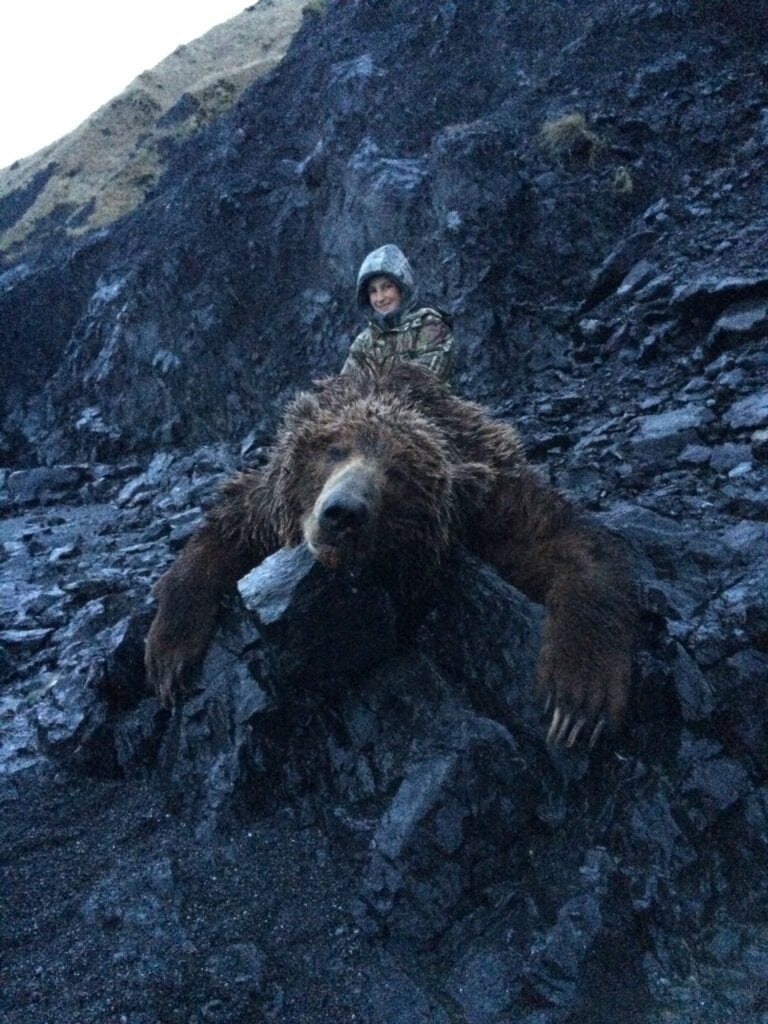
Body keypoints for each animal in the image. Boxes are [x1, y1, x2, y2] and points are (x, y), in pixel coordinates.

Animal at [145, 361, 636, 748]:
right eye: (334, 451)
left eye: (399, 474)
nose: (343, 513)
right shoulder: (270, 503)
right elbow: (225, 528)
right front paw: (169, 655)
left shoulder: (484, 500)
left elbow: (568, 542)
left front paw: (578, 699)